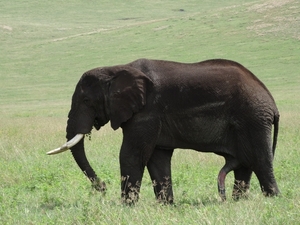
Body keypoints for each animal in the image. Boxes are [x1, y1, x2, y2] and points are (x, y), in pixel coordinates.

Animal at [48, 58, 280, 204]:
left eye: (87, 101)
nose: (102, 188)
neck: (116, 69)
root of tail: (272, 102)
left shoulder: (147, 111)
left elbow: (131, 155)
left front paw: (127, 207)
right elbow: (157, 160)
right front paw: (166, 206)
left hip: (253, 118)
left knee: (260, 161)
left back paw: (273, 199)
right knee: (245, 165)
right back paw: (237, 202)